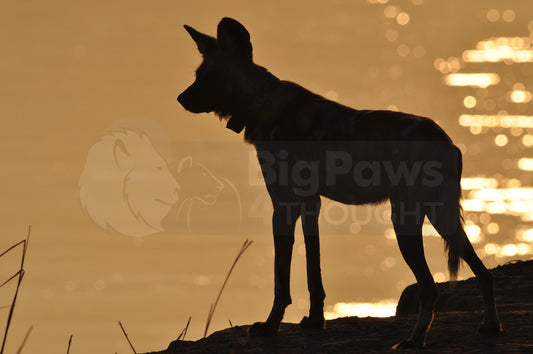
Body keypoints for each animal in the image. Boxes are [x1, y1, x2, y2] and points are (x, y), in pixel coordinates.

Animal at [177, 17, 500, 348]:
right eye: (198, 75)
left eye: (211, 77)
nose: (181, 99)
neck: (263, 104)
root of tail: (447, 141)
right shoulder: (310, 205)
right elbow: (313, 271)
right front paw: (315, 321)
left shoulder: (283, 207)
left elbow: (281, 280)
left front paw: (269, 326)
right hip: (441, 218)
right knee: (485, 274)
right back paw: (489, 326)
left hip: (406, 222)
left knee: (430, 286)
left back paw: (415, 340)